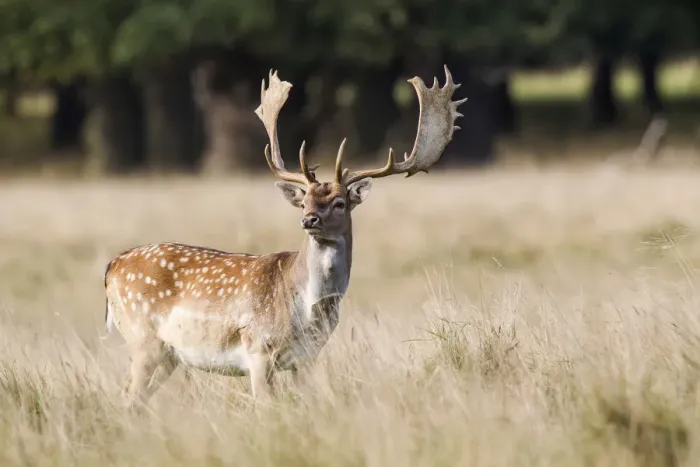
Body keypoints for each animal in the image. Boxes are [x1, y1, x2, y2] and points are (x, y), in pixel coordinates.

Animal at [103, 65, 466, 408]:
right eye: (304, 201)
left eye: (339, 202)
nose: (309, 220)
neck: (307, 310)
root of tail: (112, 267)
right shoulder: (257, 349)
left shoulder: (306, 359)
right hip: (143, 338)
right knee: (126, 399)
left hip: (167, 356)